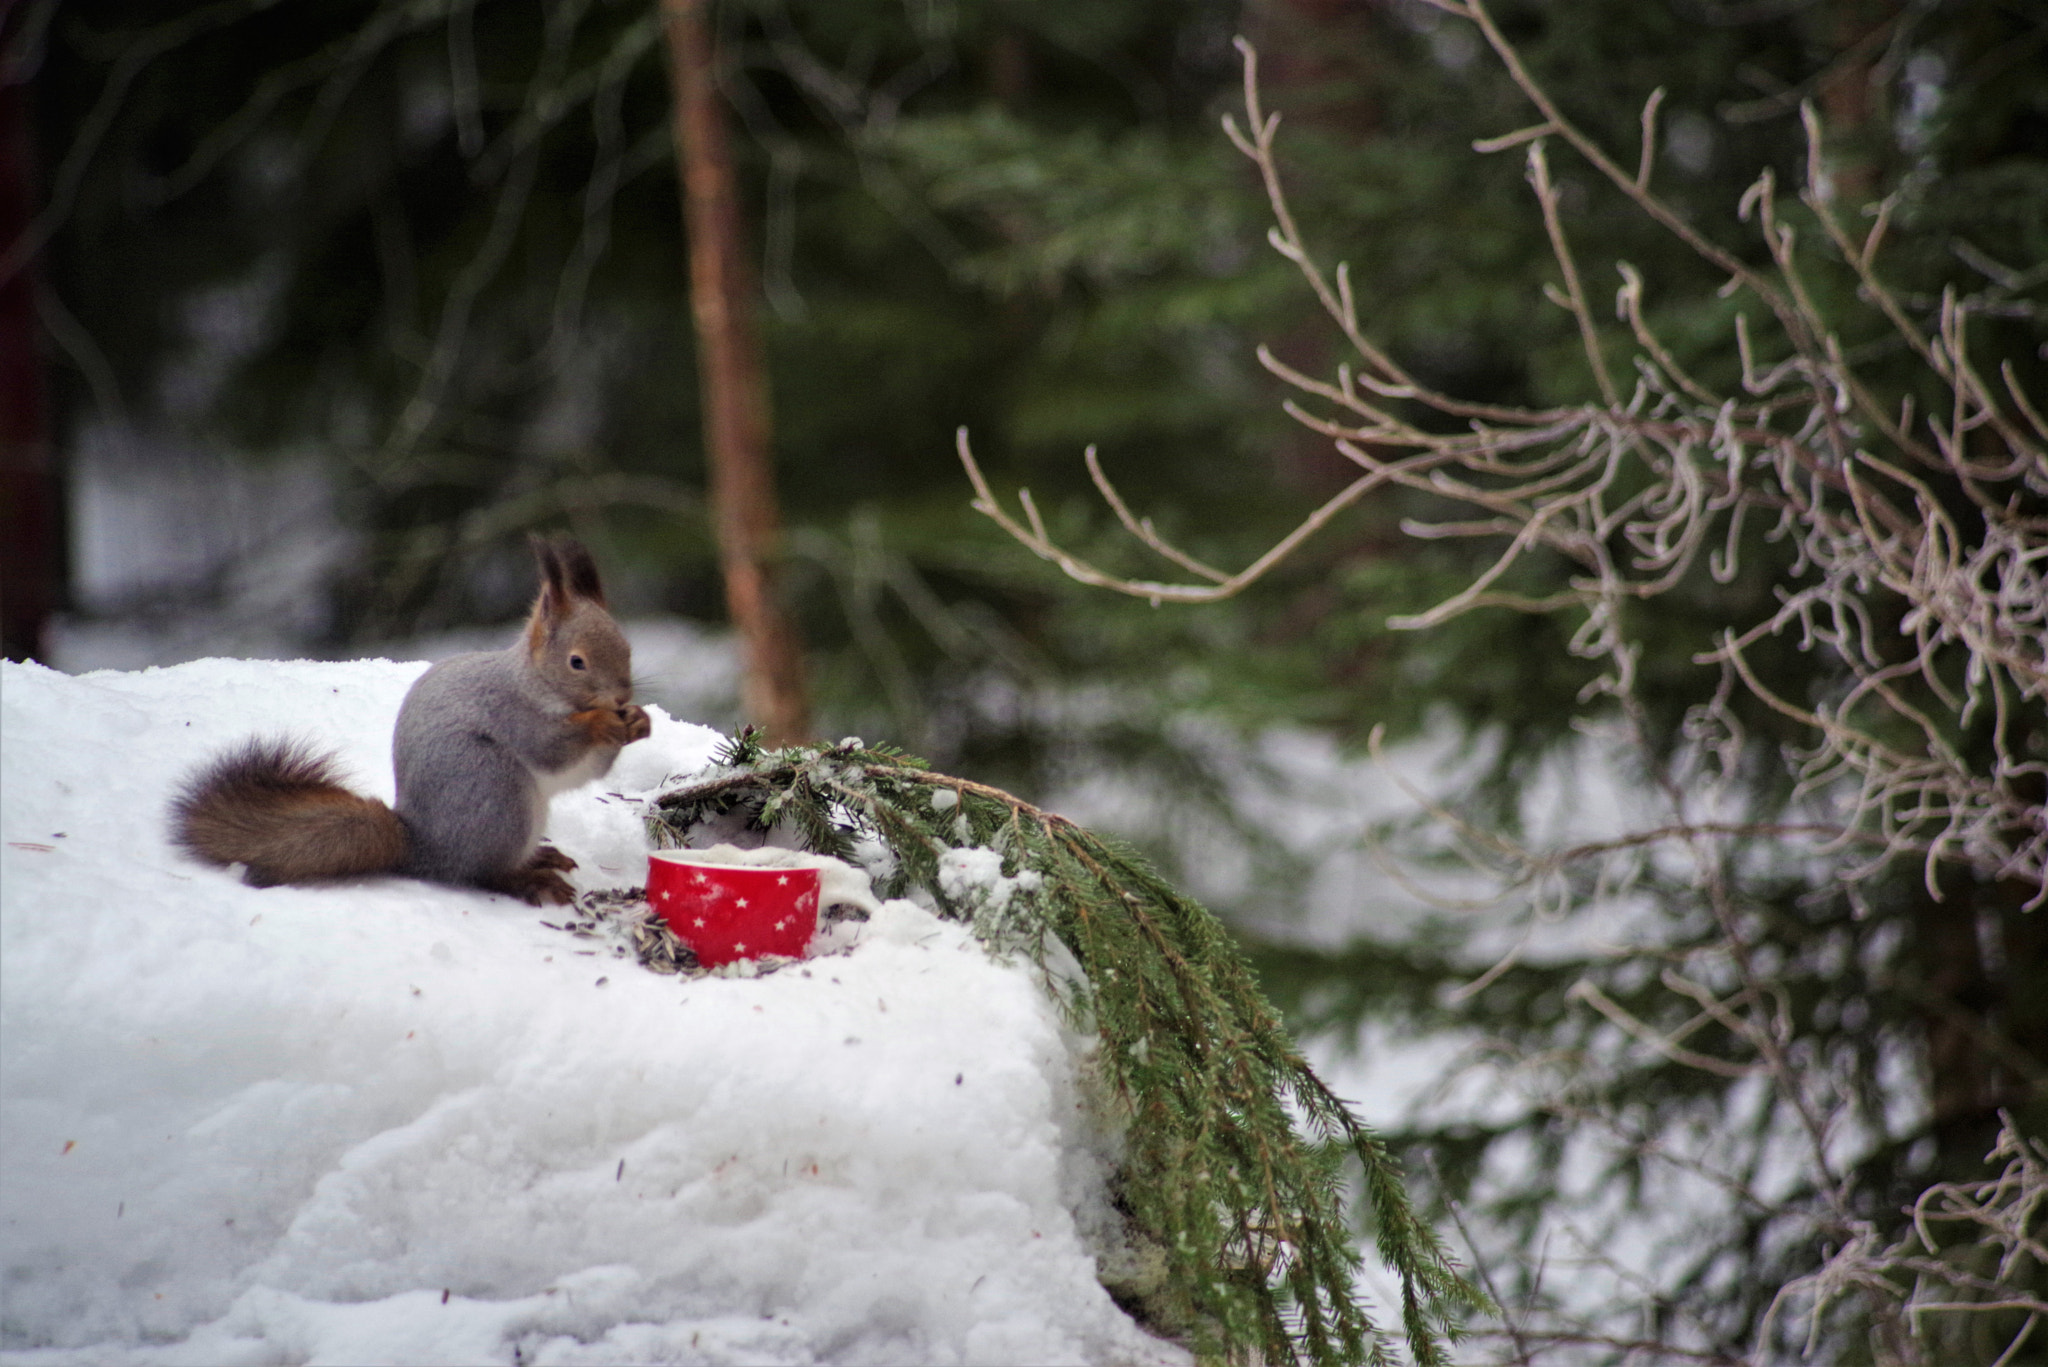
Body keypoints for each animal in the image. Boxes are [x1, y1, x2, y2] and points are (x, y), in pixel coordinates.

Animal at [177, 536, 659, 909]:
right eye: (577, 662)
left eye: (628, 649)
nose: (621, 696)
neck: (536, 683)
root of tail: (424, 848)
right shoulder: (513, 714)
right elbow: (552, 749)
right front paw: (602, 723)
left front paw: (638, 722)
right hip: (493, 790)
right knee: (480, 873)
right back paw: (529, 878)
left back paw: (540, 860)